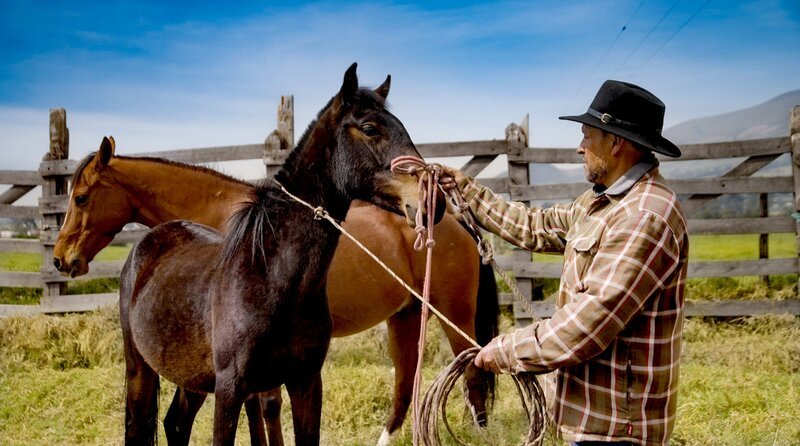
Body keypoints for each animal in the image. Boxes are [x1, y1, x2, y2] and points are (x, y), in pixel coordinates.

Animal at [55, 90, 498, 446]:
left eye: (80, 197)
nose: (62, 258)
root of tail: (457, 221)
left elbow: (265, 409)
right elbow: (263, 409)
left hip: (454, 313)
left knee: (473, 376)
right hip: (406, 316)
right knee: (406, 384)